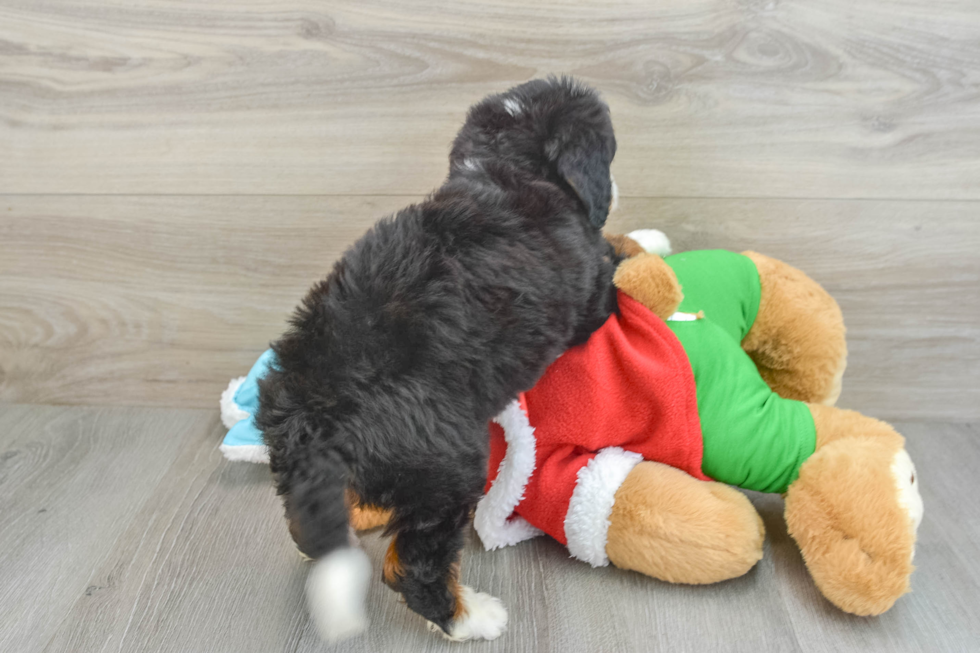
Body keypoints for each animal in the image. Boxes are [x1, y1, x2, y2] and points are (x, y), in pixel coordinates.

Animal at [256, 77, 624, 640]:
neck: (505, 169)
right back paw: (470, 617)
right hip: (446, 467)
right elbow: (611, 275)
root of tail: (313, 411)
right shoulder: (589, 293)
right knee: (415, 564)